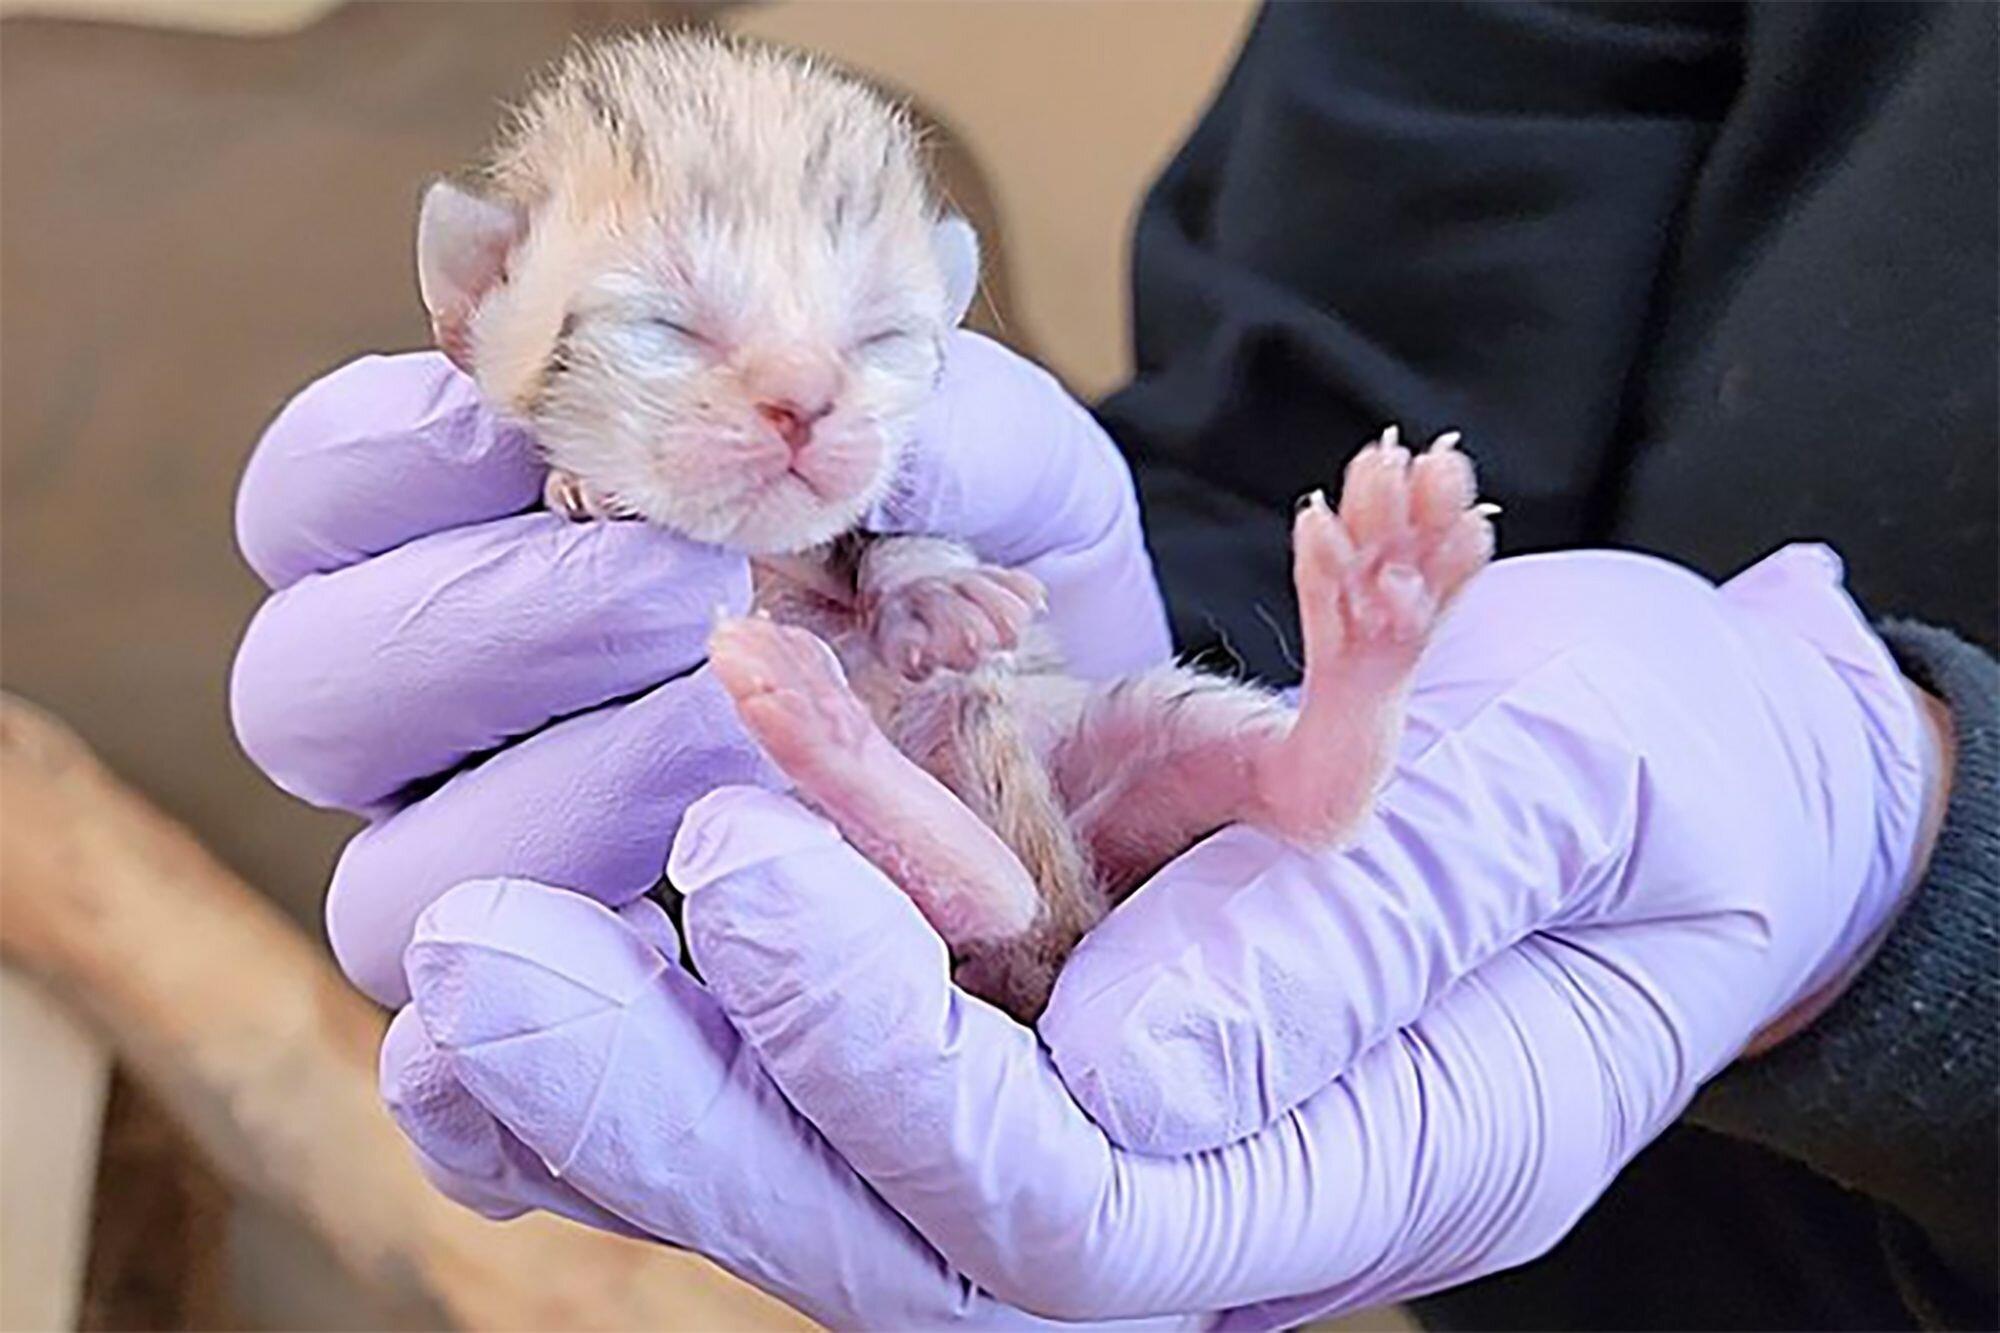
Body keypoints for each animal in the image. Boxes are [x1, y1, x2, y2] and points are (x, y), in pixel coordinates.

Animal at [418, 31, 1488, 1012]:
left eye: (880, 336)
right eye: (666, 327)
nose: (804, 398)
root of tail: (1060, 938)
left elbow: (891, 533)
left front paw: (934, 589)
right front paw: (586, 491)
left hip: (1094, 742)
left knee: (1263, 802)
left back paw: (1373, 604)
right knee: (988, 897)